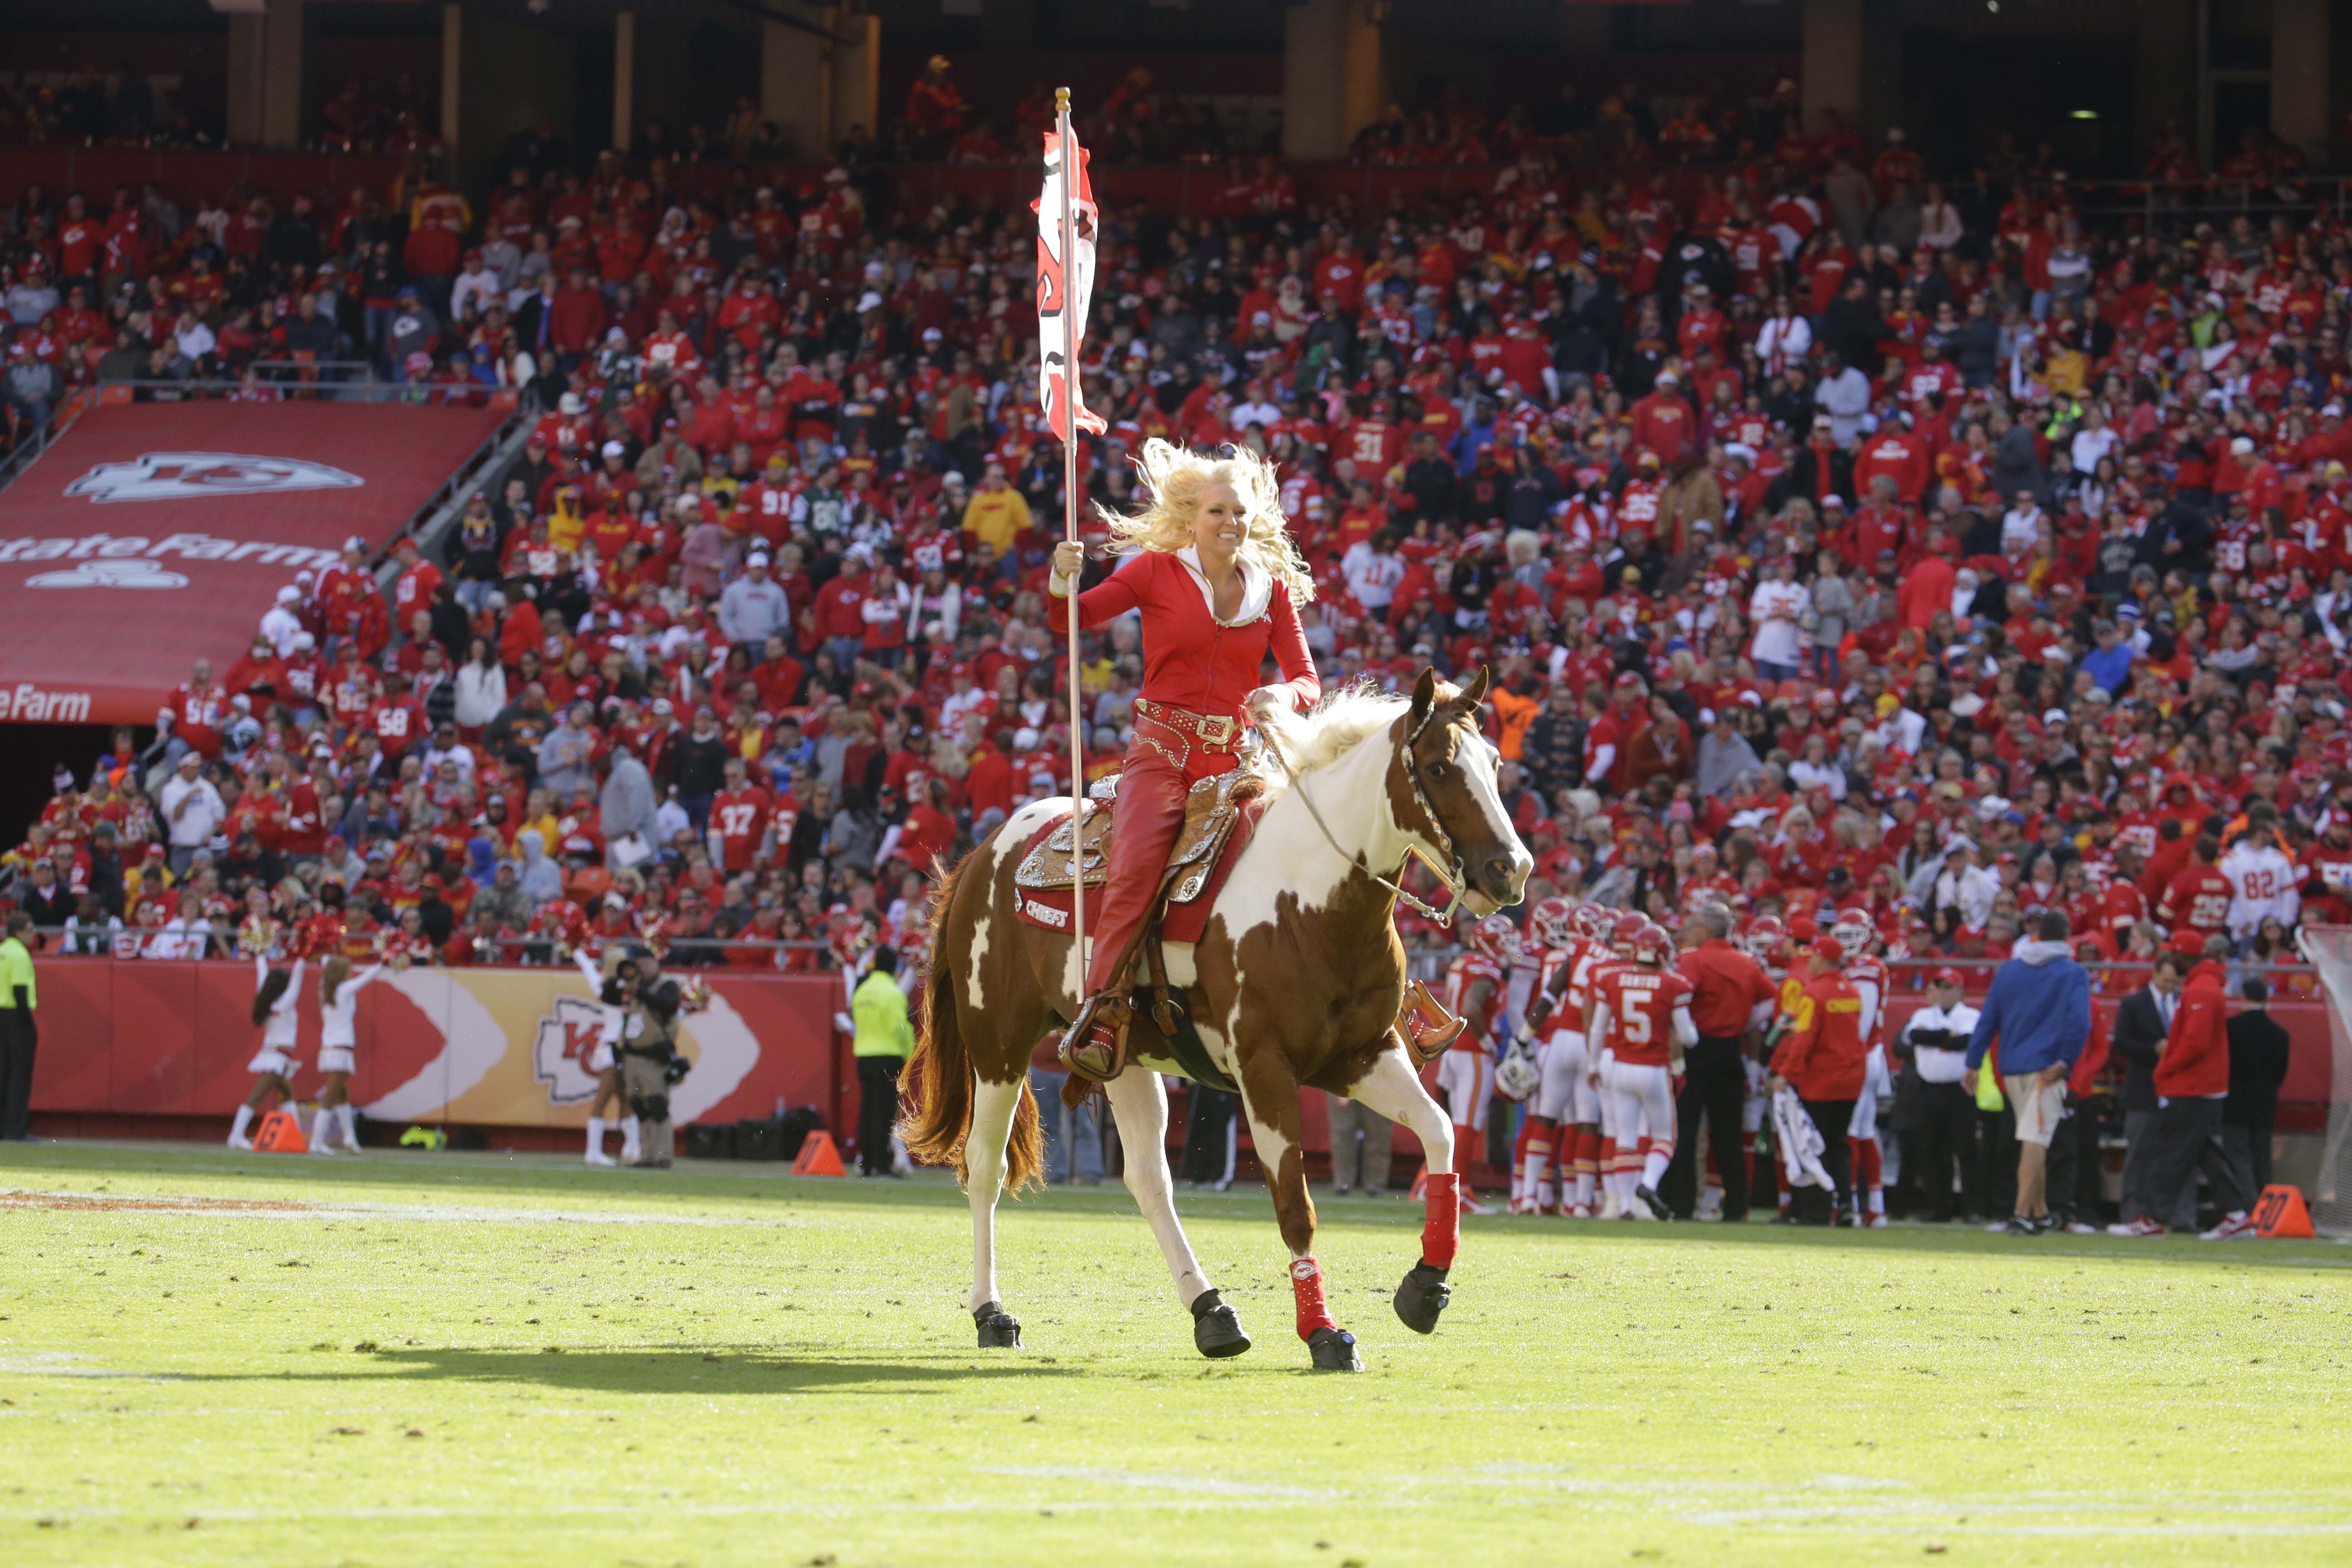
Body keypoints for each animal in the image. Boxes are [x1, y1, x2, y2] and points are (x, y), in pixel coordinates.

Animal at [893, 672, 1524, 1372]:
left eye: (1495, 765)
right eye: (1439, 767)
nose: (1512, 869)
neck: (1310, 896)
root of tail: (986, 852)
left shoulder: (1363, 1057)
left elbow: (1440, 1134)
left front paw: (1424, 1287)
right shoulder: (1264, 1071)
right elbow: (1296, 1207)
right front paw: (1324, 1333)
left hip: (1121, 1060)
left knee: (1148, 1179)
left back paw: (1213, 1314)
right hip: (998, 1044)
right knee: (985, 1166)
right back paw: (992, 1314)